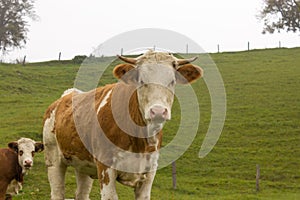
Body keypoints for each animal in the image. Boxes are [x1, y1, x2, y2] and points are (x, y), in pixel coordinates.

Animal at [42, 50, 204, 200]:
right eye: (141, 81)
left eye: (172, 81)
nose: (158, 111)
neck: (140, 140)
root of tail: (67, 95)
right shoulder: (105, 167)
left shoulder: (150, 171)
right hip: (53, 159)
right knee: (57, 192)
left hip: (83, 165)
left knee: (81, 194)